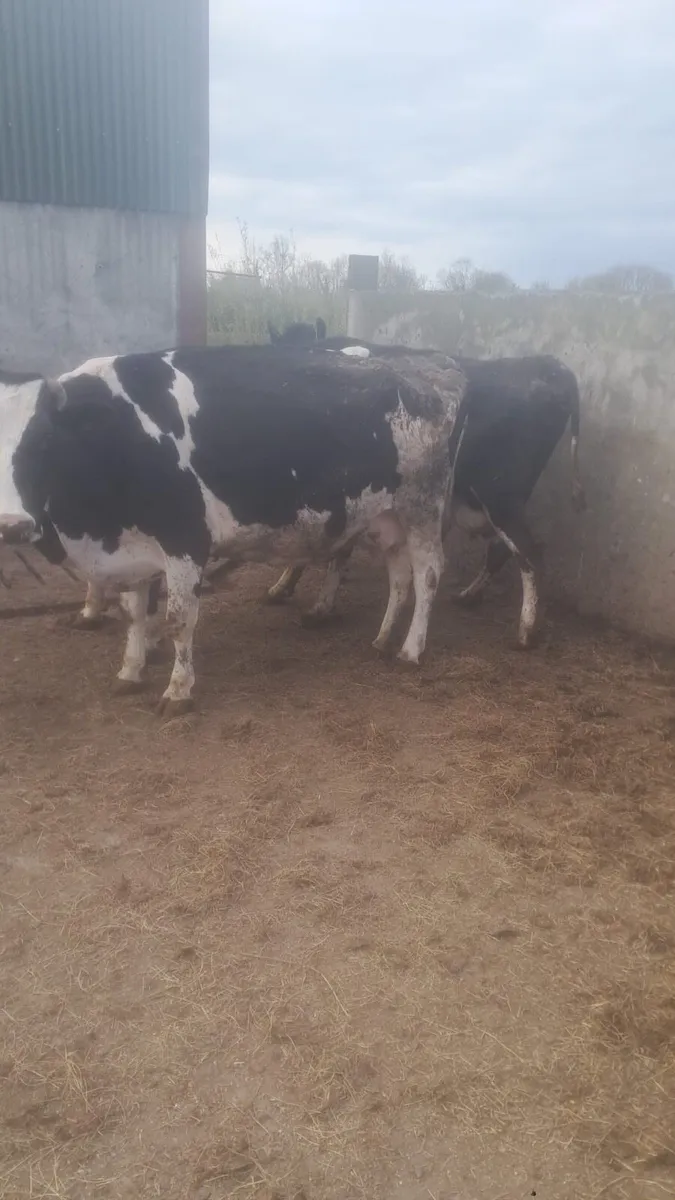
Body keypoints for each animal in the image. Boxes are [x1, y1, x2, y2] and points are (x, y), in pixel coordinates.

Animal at [0, 347, 467, 712]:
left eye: (43, 443)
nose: (12, 526)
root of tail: (430, 372)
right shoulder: (136, 546)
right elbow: (134, 613)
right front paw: (131, 671)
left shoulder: (185, 539)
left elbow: (178, 620)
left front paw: (178, 691)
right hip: (385, 519)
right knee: (399, 578)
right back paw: (383, 639)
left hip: (422, 509)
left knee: (427, 576)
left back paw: (411, 649)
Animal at [264, 340, 585, 649]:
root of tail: (548, 365)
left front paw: (306, 599)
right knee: (503, 551)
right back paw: (469, 596)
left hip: (500, 499)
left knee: (528, 556)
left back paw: (526, 631)